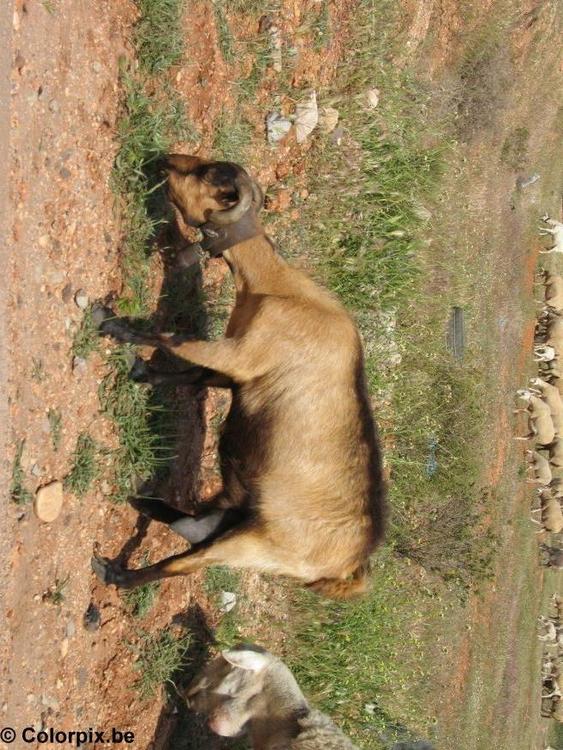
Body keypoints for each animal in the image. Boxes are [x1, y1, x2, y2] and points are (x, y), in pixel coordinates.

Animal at [91, 155, 386, 598]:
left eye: (208, 177)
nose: (164, 161)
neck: (276, 287)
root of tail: (345, 568)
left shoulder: (242, 355)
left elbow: (173, 340)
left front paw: (112, 325)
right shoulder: (237, 377)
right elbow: (196, 375)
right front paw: (145, 372)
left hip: (255, 545)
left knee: (184, 563)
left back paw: (117, 573)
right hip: (236, 516)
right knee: (195, 526)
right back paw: (145, 502)